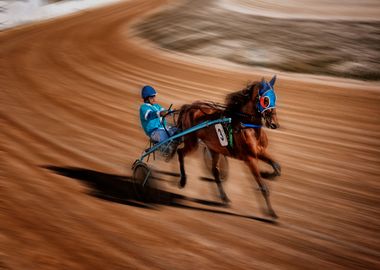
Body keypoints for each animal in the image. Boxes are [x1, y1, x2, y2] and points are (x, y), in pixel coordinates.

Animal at [177, 75, 280, 218]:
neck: (247, 125)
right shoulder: (250, 158)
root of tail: (190, 106)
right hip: (192, 142)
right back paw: (183, 181)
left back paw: (224, 198)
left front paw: (267, 174)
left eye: (275, 97)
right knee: (180, 152)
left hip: (214, 149)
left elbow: (277, 167)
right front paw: (271, 213)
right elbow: (263, 187)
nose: (275, 124)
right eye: (266, 100)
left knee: (215, 171)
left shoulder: (260, 152)